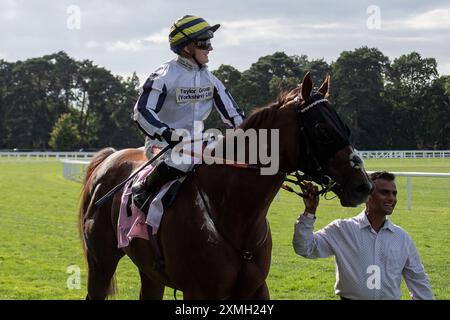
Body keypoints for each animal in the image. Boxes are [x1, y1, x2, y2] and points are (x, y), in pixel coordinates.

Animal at [78, 72, 372, 300]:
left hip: (149, 269)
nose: (363, 186)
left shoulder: (255, 288)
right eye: (322, 129)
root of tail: (109, 158)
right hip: (101, 262)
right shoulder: (198, 291)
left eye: (344, 126)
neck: (232, 212)